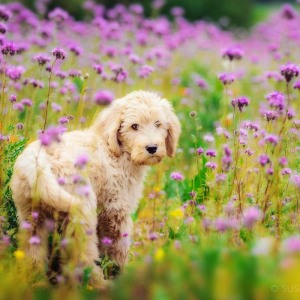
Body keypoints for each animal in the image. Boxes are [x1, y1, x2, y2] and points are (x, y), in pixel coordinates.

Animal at [10, 90, 180, 288]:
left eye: (158, 124)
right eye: (134, 126)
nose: (152, 148)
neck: (114, 149)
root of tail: (38, 161)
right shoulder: (115, 210)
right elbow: (118, 246)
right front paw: (120, 275)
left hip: (31, 216)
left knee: (32, 253)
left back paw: (36, 282)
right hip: (81, 215)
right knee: (83, 257)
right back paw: (99, 284)